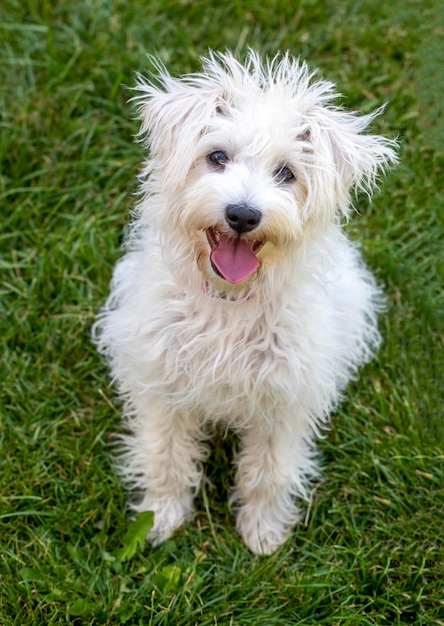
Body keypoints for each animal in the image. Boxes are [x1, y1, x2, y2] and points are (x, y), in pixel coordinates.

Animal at [93, 51, 396, 552]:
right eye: (217, 156)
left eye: (287, 173)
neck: (228, 303)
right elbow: (166, 456)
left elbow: (269, 472)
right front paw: (161, 518)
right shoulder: (161, 386)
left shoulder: (284, 402)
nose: (242, 214)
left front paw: (263, 532)